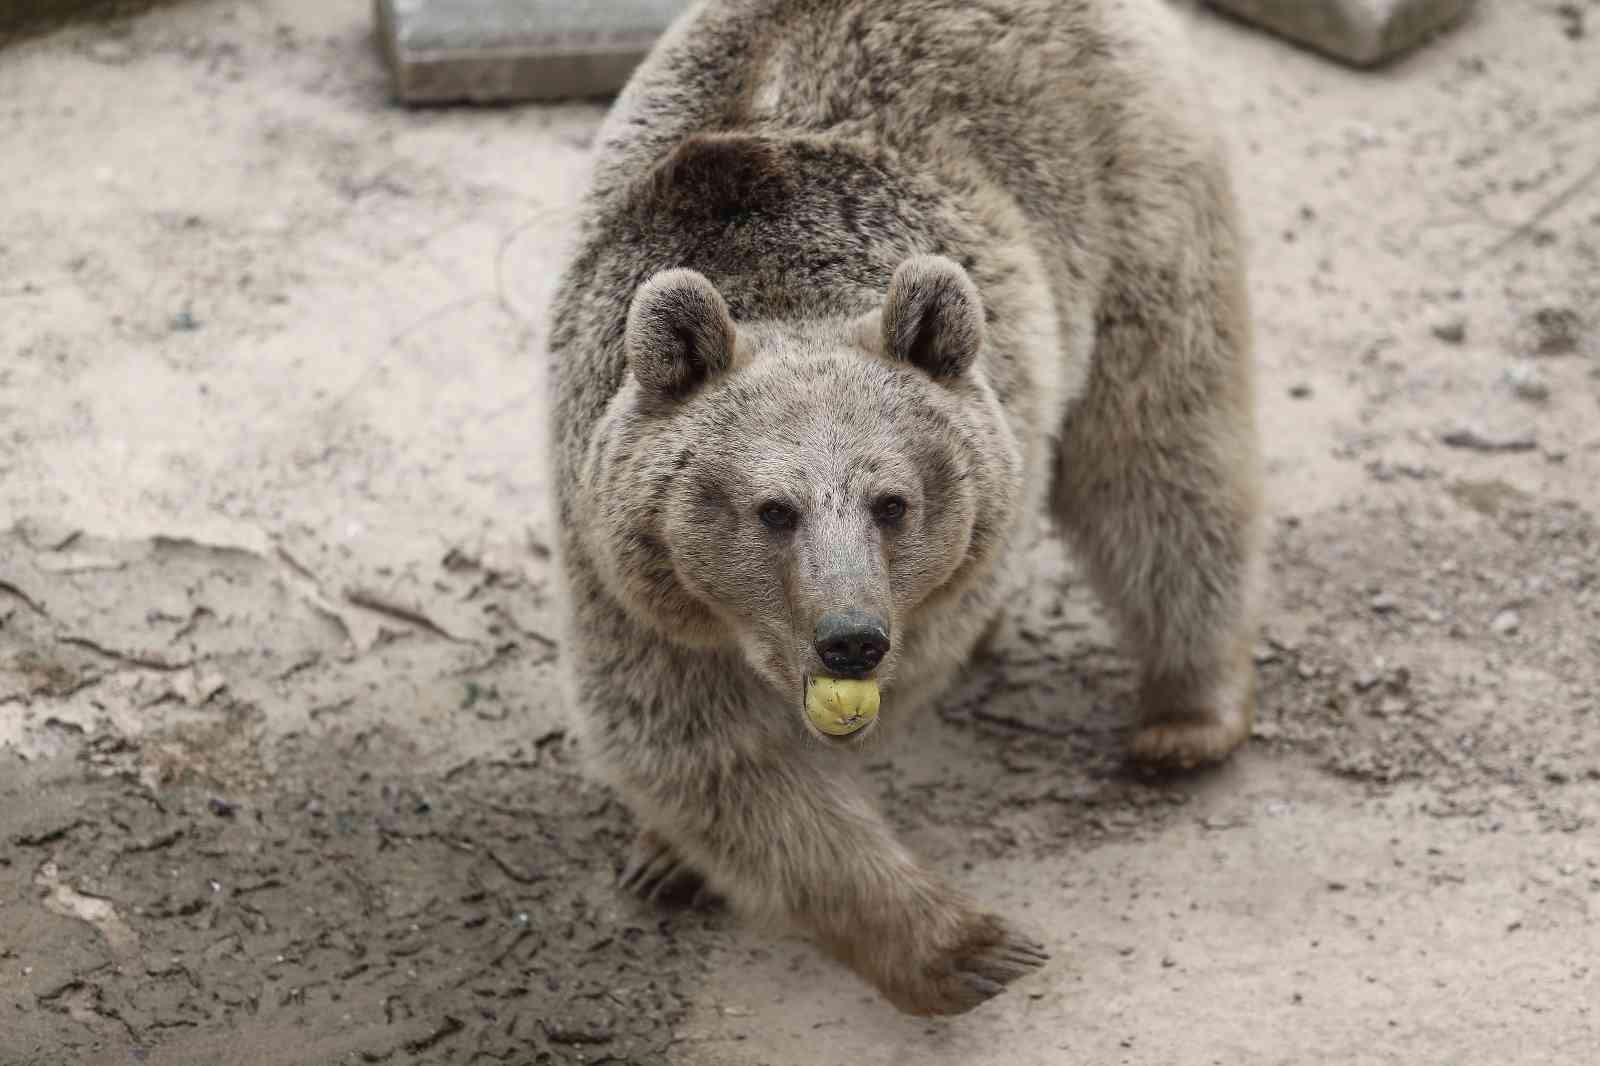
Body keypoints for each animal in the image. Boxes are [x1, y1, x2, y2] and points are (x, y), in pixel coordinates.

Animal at [547, 0, 1260, 1011]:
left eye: (892, 502)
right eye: (772, 510)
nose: (851, 639)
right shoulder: (625, 568)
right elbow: (702, 749)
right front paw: (956, 943)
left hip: (1137, 199)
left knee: (1161, 454)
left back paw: (1186, 715)